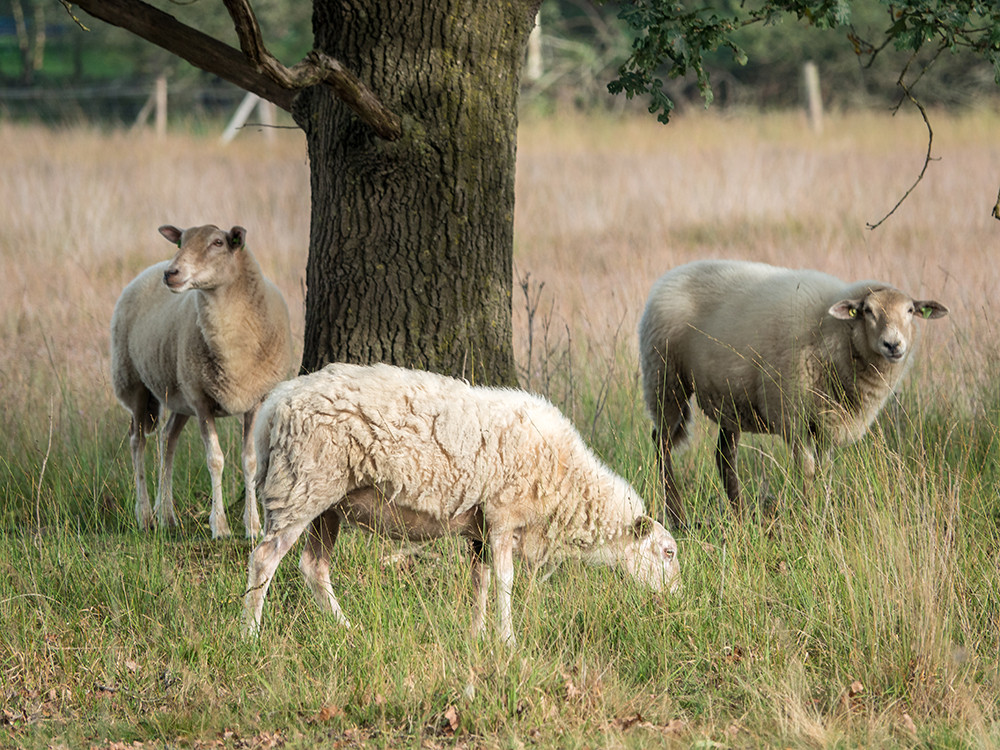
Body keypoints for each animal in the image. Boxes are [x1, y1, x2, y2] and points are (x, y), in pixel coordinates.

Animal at [113, 223, 294, 540]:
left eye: (218, 243)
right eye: (181, 242)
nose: (171, 273)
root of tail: (148, 269)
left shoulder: (255, 399)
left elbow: (250, 461)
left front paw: (253, 527)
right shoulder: (202, 402)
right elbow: (215, 460)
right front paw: (219, 526)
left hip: (179, 394)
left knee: (167, 439)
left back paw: (167, 515)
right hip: (134, 383)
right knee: (137, 440)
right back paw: (145, 515)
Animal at [241, 364, 680, 648]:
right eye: (668, 553)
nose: (676, 598)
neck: (568, 482)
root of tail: (274, 405)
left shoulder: (481, 529)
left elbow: (479, 582)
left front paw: (477, 635)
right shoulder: (503, 516)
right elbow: (505, 581)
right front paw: (508, 641)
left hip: (326, 502)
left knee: (313, 567)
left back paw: (348, 629)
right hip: (300, 487)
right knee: (264, 559)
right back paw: (251, 633)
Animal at [640, 262, 944, 532]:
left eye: (910, 311)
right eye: (868, 311)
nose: (893, 345)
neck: (836, 334)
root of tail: (672, 274)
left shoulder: (827, 421)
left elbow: (824, 471)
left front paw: (823, 515)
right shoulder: (792, 414)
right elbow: (807, 470)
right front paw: (809, 519)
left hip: (727, 396)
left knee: (724, 456)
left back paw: (741, 517)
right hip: (665, 378)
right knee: (661, 445)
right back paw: (678, 517)